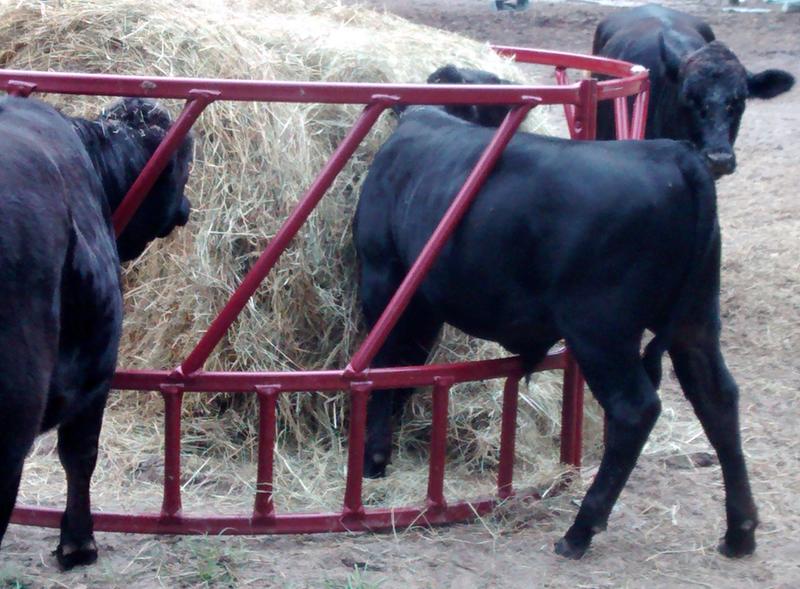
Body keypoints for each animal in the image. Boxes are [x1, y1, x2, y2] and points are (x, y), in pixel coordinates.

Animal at [353, 106, 758, 559]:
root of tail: (675, 156)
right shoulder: (423, 304)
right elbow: (404, 369)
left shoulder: (385, 278)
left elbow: (383, 368)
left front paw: (373, 458)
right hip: (695, 320)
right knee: (717, 399)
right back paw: (739, 531)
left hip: (600, 330)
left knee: (635, 409)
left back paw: (580, 530)